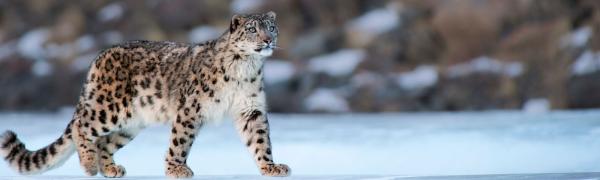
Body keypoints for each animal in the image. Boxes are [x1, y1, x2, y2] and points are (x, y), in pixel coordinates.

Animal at [0, 11, 290, 179]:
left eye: (271, 27)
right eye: (252, 29)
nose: (267, 40)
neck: (246, 67)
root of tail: (99, 57)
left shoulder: (250, 109)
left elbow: (260, 140)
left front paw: (270, 166)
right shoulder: (191, 109)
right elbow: (180, 141)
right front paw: (176, 169)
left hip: (130, 124)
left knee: (105, 143)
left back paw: (110, 169)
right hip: (108, 109)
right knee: (82, 126)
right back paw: (89, 165)